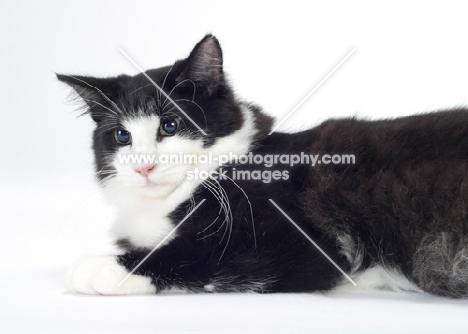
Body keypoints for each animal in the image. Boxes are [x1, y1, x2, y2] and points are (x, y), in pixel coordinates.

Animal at [57, 35, 468, 298]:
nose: (143, 167)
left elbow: (197, 255)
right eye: (121, 136)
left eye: (170, 125)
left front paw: (99, 267)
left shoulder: (297, 244)